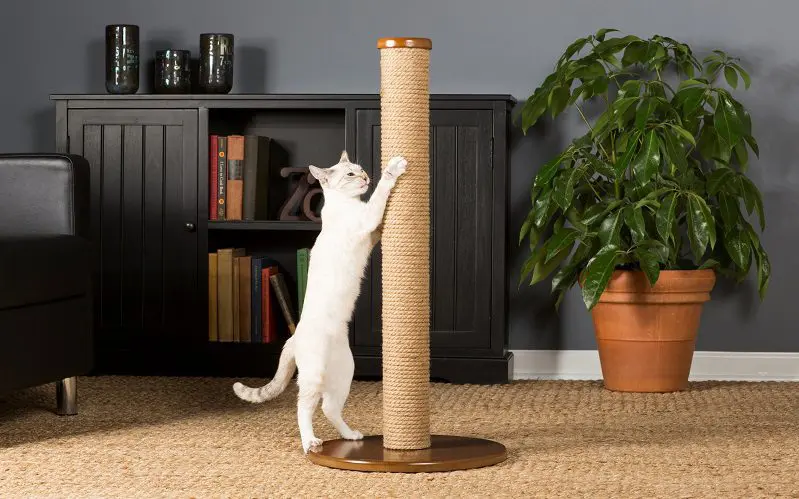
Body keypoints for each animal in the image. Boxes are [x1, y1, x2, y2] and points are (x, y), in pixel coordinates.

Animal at [230, 148, 406, 454]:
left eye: (361, 170)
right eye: (351, 174)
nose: (365, 178)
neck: (348, 203)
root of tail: (294, 337)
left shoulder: (370, 231)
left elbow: (379, 225)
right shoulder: (366, 218)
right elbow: (381, 193)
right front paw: (394, 167)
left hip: (345, 373)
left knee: (329, 408)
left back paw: (351, 436)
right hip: (313, 377)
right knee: (304, 408)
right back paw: (310, 442)